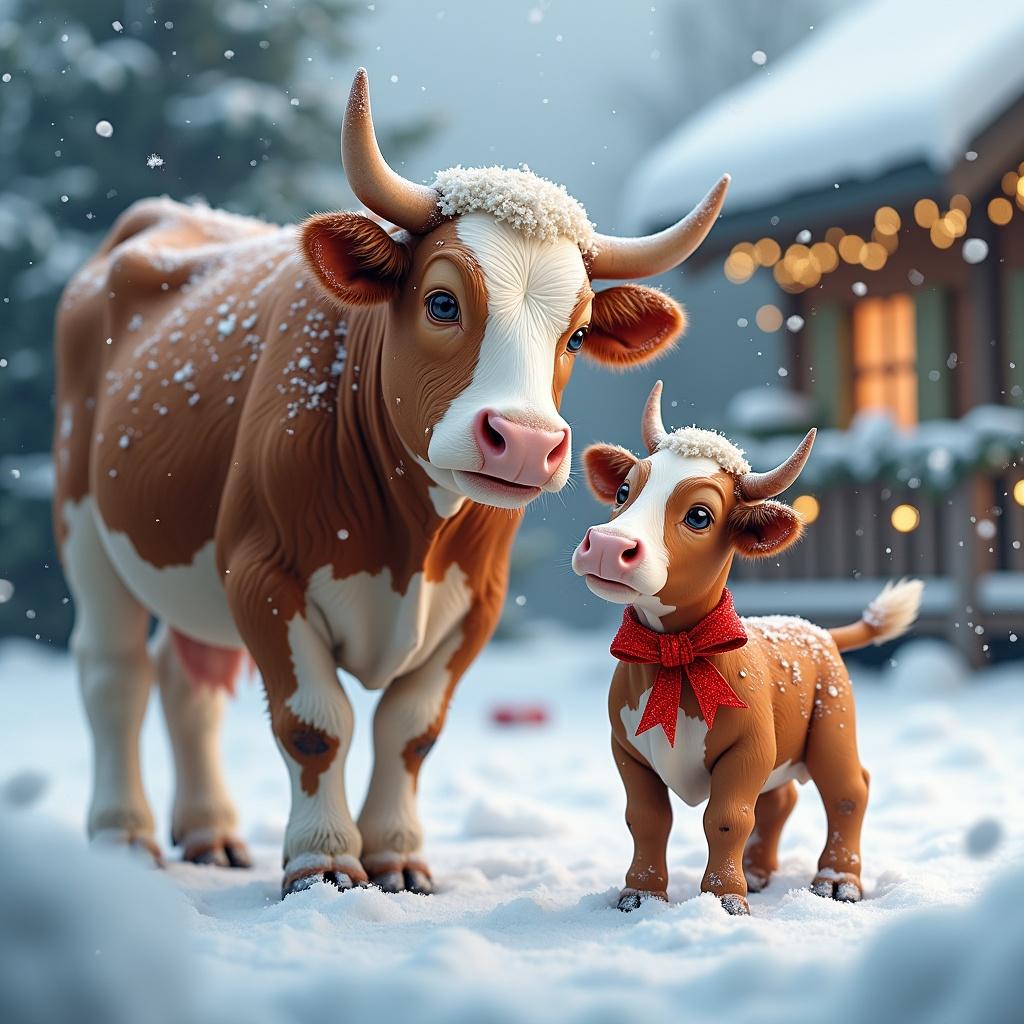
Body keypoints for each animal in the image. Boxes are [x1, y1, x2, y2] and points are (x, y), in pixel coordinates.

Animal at [56, 68, 733, 892]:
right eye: (441, 302)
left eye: (576, 336)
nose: (525, 444)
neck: (410, 540)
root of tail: (165, 215)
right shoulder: (262, 573)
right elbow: (315, 724)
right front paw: (322, 859)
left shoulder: (477, 602)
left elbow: (410, 730)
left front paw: (399, 858)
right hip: (85, 526)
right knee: (114, 673)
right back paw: (123, 834)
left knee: (191, 681)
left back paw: (210, 832)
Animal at [573, 382, 925, 913]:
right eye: (622, 492)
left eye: (700, 515)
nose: (609, 545)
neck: (675, 651)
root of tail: (814, 629)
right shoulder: (626, 748)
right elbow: (646, 819)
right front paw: (640, 894)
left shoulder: (749, 748)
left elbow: (727, 818)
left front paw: (724, 900)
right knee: (780, 800)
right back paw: (759, 873)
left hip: (833, 723)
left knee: (848, 791)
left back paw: (837, 880)